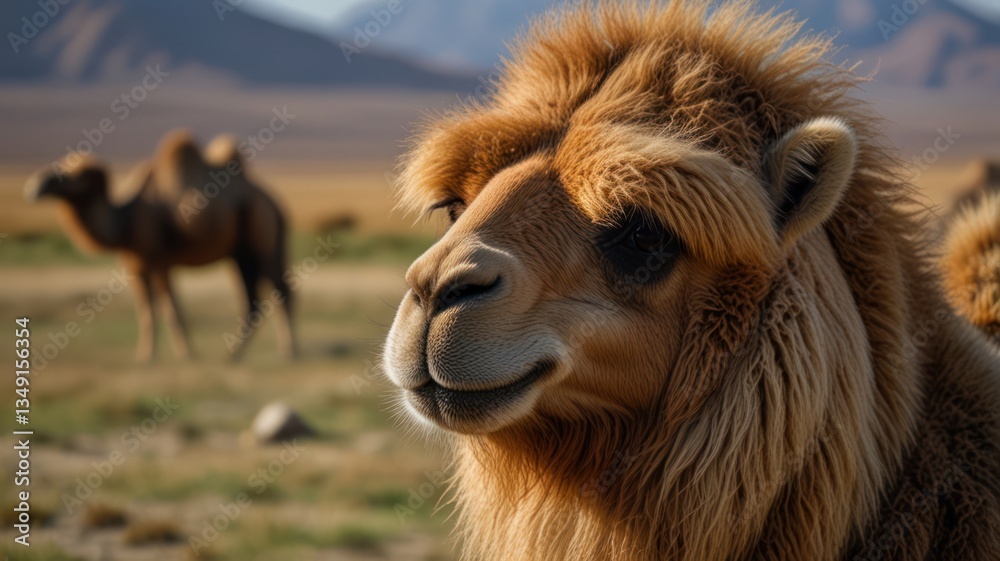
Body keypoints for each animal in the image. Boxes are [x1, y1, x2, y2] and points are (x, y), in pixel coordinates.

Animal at [25, 130, 296, 362]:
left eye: (77, 176)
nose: (37, 185)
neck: (125, 219)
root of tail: (274, 203)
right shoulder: (135, 267)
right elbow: (146, 311)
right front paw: (145, 356)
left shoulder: (159, 262)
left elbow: (170, 309)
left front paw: (186, 354)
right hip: (242, 255)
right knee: (255, 300)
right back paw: (237, 355)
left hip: (261, 242)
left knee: (280, 292)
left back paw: (288, 352)